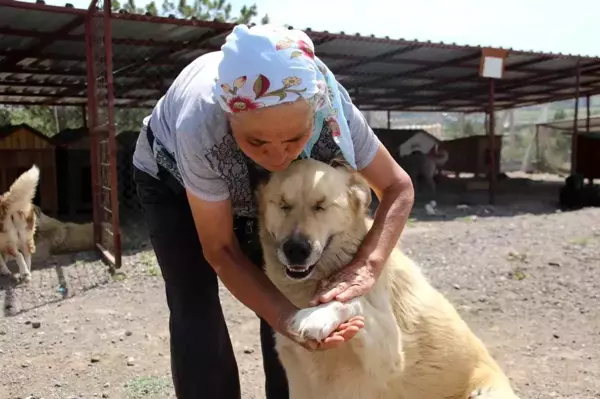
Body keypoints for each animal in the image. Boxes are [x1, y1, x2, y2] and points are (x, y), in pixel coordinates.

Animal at [255, 159, 516, 399]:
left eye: (321, 206)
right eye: (283, 205)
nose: (296, 249)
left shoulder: (389, 355)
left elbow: (354, 299)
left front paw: (317, 315)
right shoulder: (299, 375)